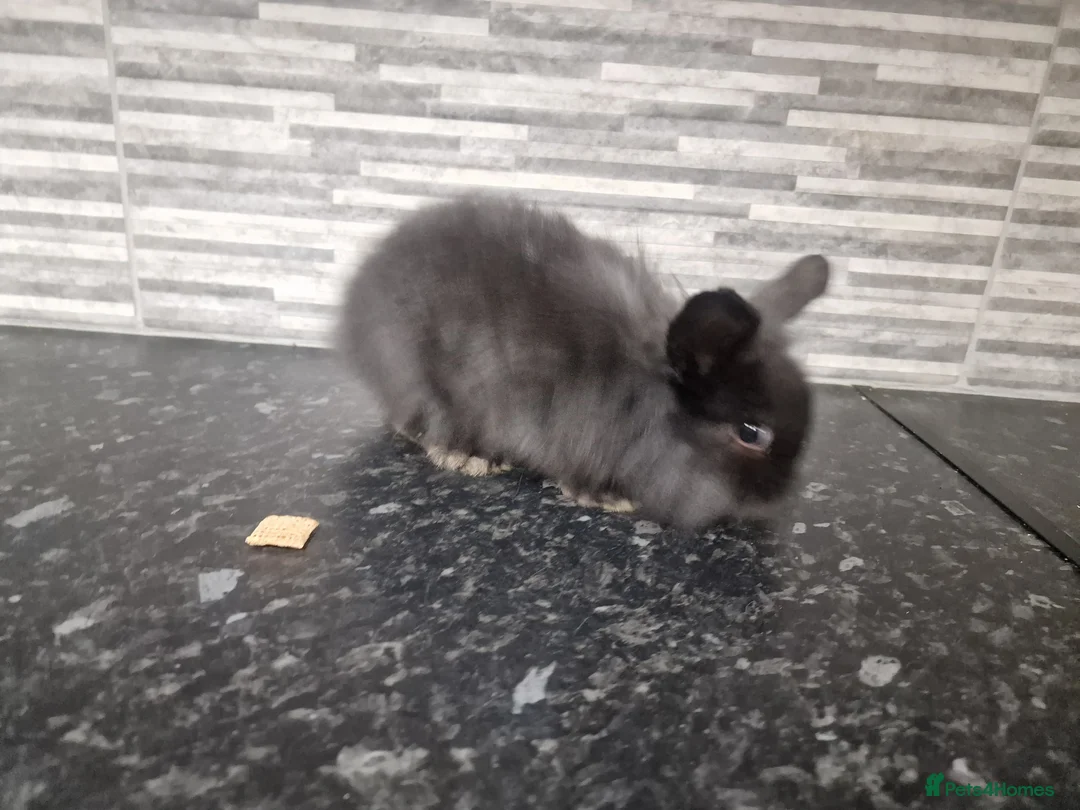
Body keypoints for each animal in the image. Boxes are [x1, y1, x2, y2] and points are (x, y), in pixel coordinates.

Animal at [338, 193, 829, 532]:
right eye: (751, 434)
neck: (643, 394)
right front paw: (606, 498)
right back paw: (466, 454)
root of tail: (362, 286)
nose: (776, 499)